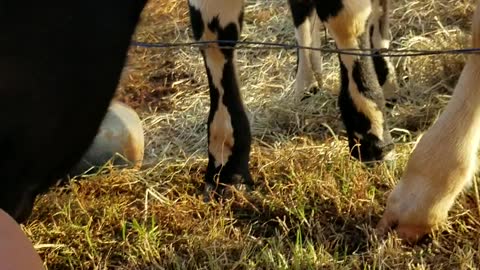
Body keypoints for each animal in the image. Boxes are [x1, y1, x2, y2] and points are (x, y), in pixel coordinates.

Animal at [188, 0, 398, 197]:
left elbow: (346, 24)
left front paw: (372, 136)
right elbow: (215, 38)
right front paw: (227, 167)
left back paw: (385, 80)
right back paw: (307, 86)